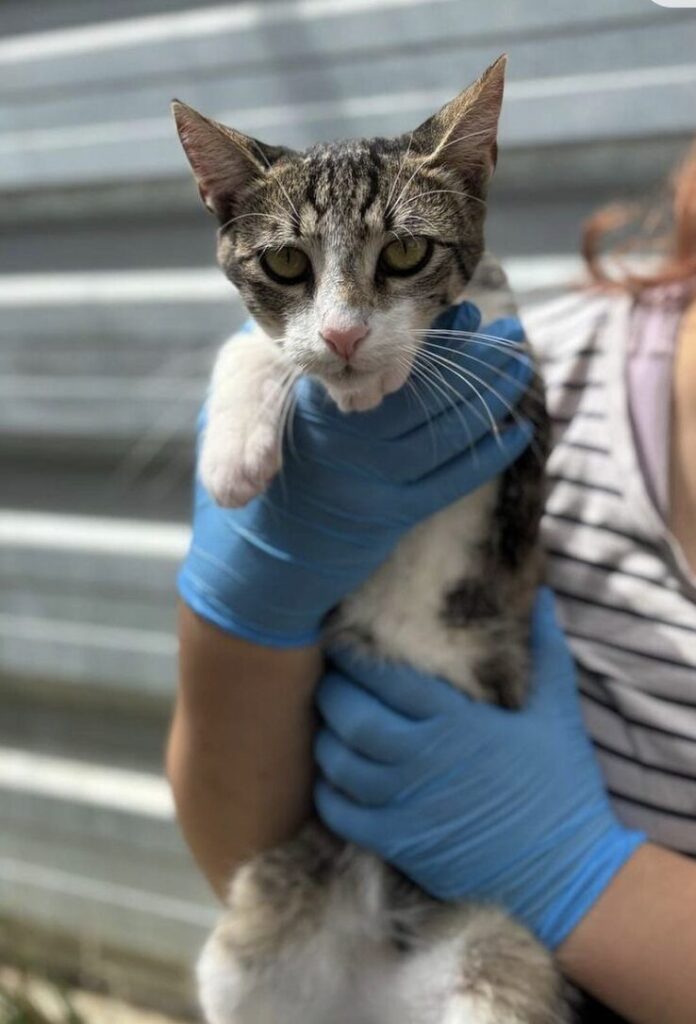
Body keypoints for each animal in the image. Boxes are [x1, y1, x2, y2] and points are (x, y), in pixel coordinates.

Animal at [172, 54, 564, 1024]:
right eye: (285, 262)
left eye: (405, 253)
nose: (347, 335)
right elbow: (261, 345)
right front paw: (236, 450)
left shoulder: (525, 406)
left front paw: (385, 372)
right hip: (256, 939)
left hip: (493, 966)